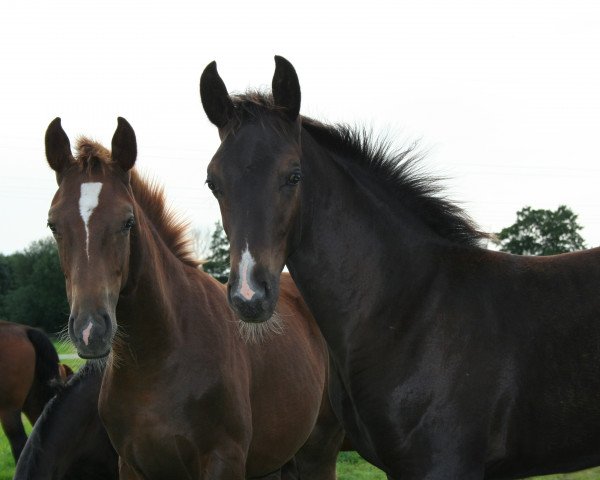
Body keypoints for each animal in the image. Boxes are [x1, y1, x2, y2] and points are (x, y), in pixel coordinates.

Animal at [44, 117, 344, 480]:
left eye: (127, 222)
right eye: (53, 225)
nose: (90, 331)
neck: (158, 360)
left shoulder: (223, 460)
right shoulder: (130, 464)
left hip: (320, 451)